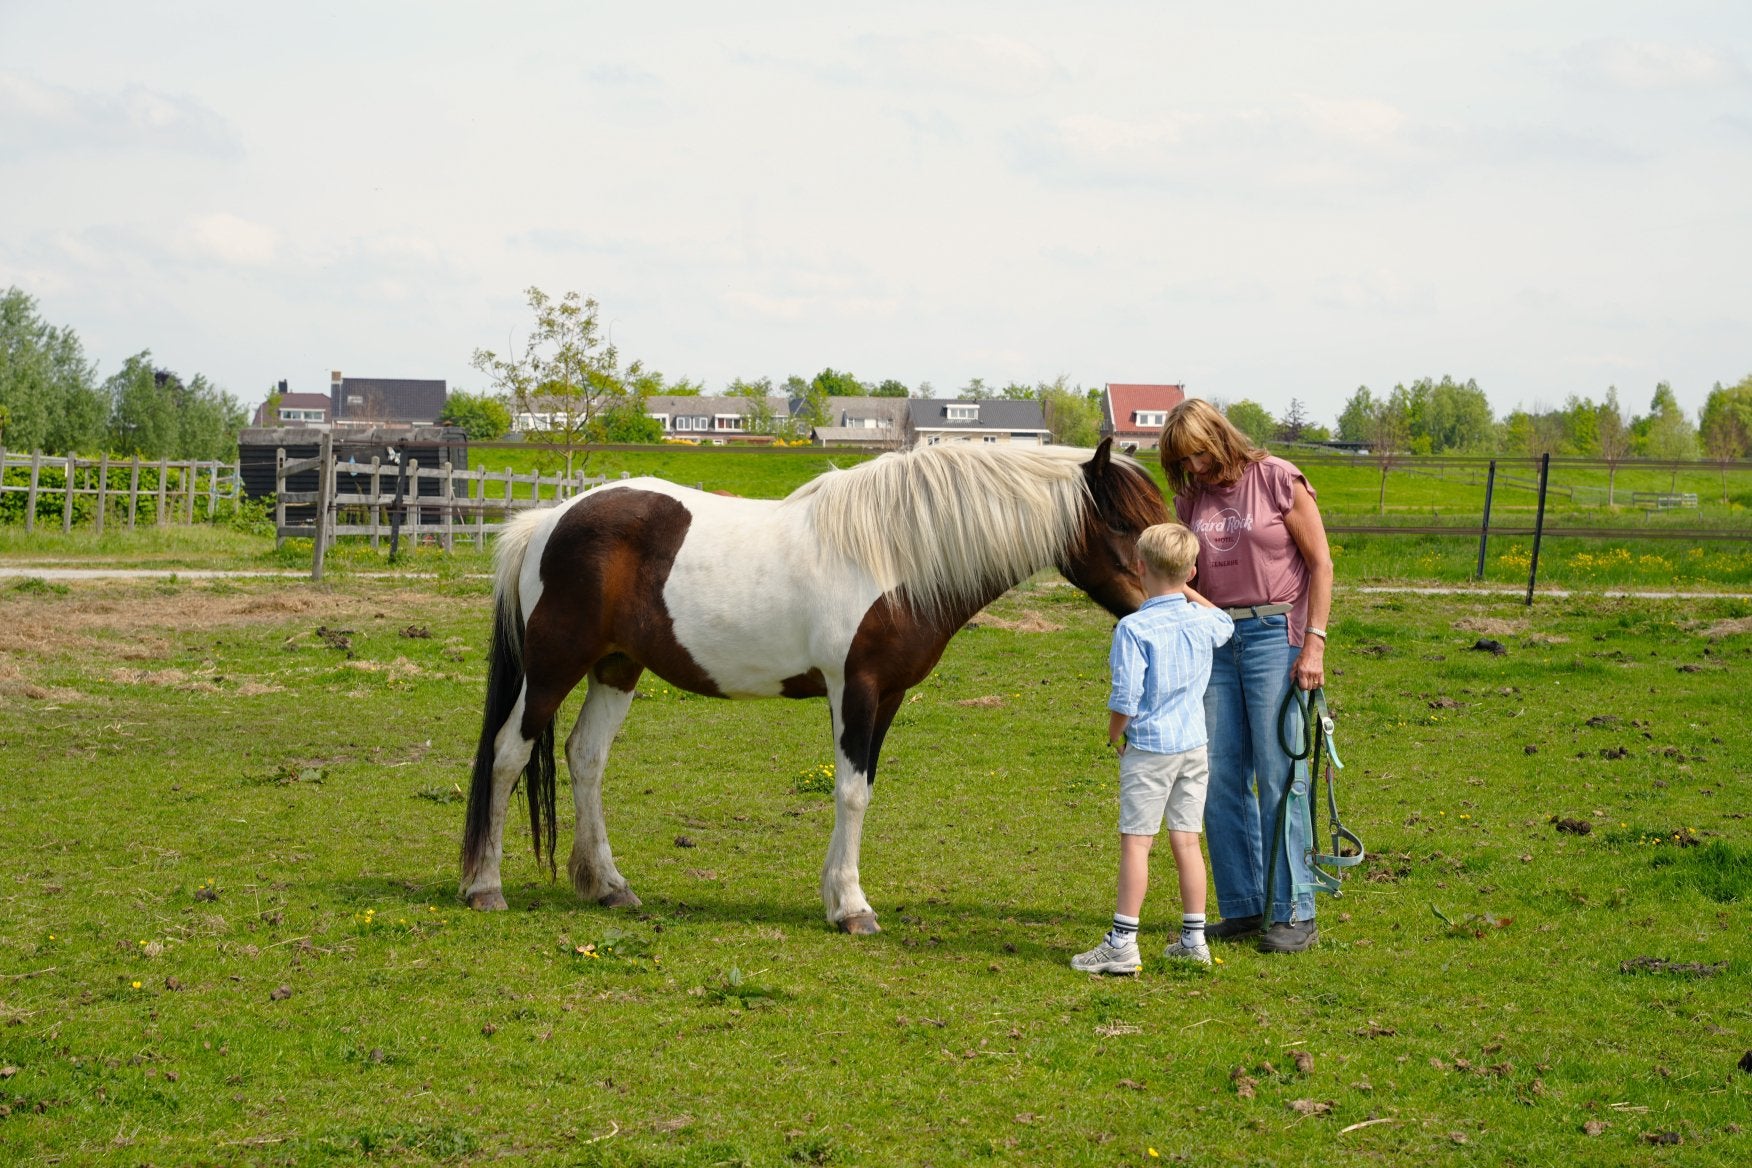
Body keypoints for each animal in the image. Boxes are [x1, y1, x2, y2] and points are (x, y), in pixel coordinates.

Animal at [458, 437, 1169, 932]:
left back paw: (608, 885)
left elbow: (865, 789)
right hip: (553, 667)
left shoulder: (889, 697)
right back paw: (485, 887)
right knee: (509, 753)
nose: (1175, 597)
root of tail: (550, 520)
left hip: (615, 667)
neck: (894, 557)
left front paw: (838, 896)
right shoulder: (854, 688)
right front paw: (851, 907)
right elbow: (851, 793)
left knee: (585, 757)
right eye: (1124, 525)